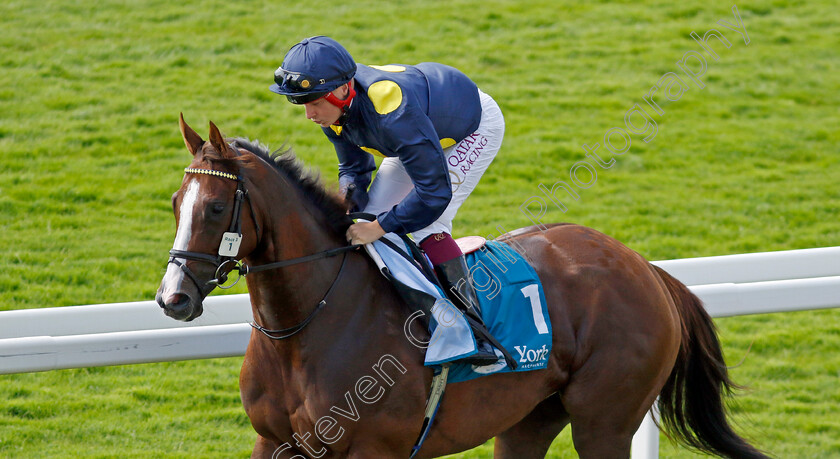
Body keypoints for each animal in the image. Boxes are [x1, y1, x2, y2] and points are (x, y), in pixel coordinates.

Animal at [154, 116, 764, 459]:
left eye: (215, 207)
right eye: (176, 204)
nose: (172, 298)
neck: (305, 328)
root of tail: (645, 267)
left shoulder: (373, 448)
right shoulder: (274, 442)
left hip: (605, 423)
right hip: (527, 421)